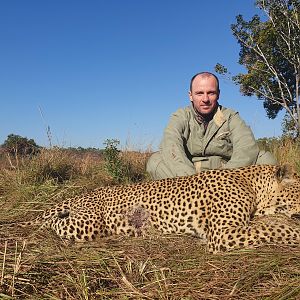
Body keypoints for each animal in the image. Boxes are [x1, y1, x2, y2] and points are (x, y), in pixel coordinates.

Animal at [18, 164, 300, 253]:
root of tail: (88, 192)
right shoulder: (223, 233)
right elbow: (275, 231)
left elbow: (271, 226)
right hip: (88, 223)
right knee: (55, 222)